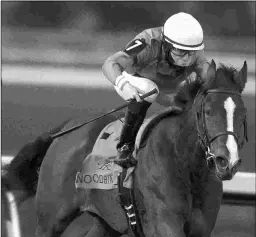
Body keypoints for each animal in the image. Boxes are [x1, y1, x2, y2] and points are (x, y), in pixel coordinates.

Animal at [3, 59, 248, 237]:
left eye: (243, 113)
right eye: (208, 111)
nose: (227, 161)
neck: (186, 166)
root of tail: (66, 129)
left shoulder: (200, 229)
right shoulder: (164, 224)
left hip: (107, 222)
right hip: (51, 219)